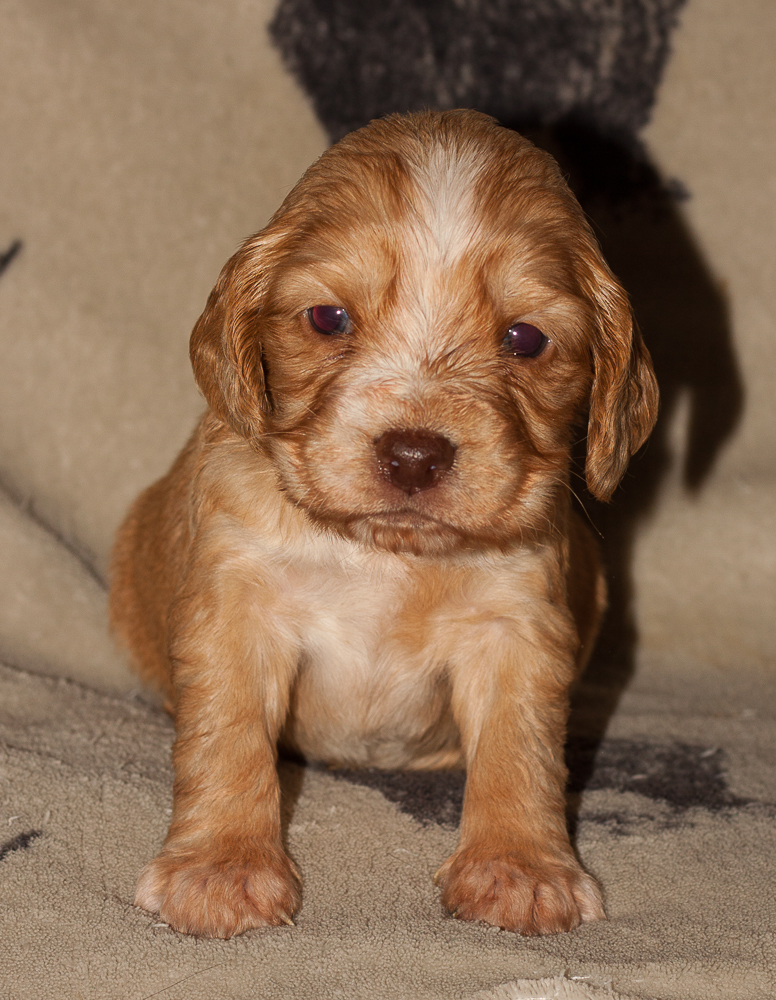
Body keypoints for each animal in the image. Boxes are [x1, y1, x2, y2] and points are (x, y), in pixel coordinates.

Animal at [110, 109, 658, 939]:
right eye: (328, 318)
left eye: (526, 339)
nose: (413, 455)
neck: (387, 553)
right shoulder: (235, 609)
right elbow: (227, 738)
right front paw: (221, 867)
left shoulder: (517, 625)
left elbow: (521, 750)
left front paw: (520, 869)